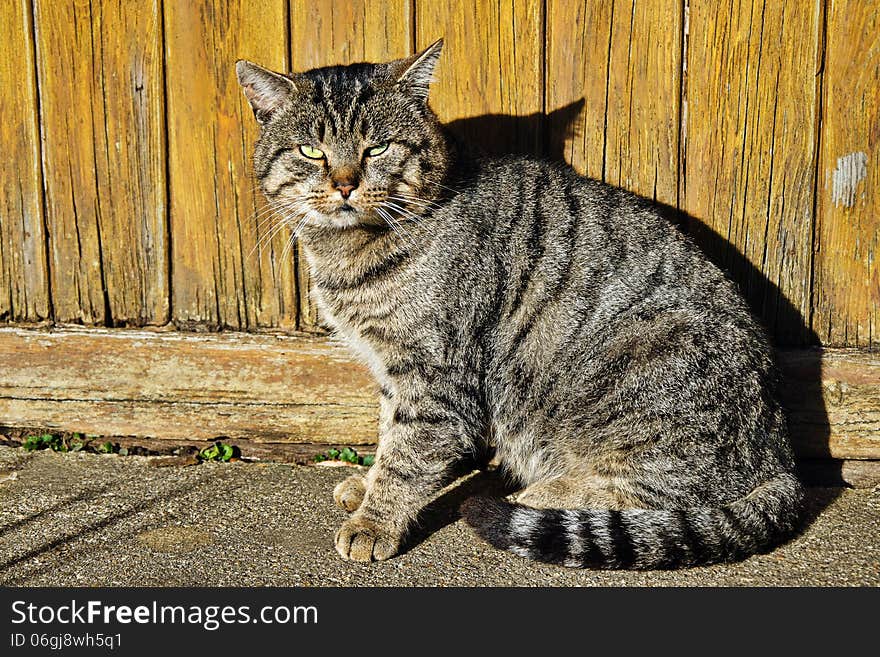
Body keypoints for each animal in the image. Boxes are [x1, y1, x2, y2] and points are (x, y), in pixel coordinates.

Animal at [235, 38, 804, 568]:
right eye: (312, 152)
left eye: (377, 149)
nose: (345, 184)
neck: (348, 252)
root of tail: (782, 453)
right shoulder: (391, 367)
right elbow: (387, 430)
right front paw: (366, 482)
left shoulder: (435, 375)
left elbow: (409, 455)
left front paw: (374, 521)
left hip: (637, 369)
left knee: (658, 495)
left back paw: (538, 496)